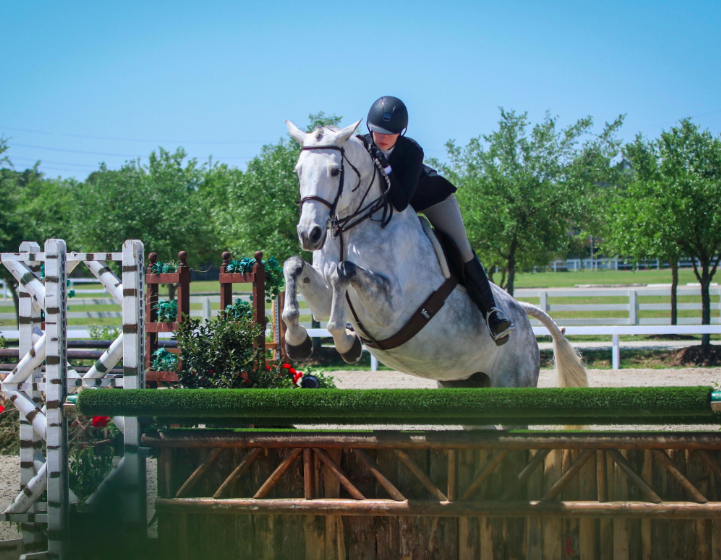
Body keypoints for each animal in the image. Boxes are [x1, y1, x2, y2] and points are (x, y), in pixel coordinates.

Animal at [281, 119, 588, 391]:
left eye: (335, 171)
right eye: (298, 171)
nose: (309, 234)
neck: (352, 228)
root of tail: (521, 312)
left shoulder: (390, 309)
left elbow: (343, 272)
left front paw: (347, 345)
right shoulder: (324, 298)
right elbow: (293, 267)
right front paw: (298, 341)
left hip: (514, 378)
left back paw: (498, 322)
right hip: (460, 381)